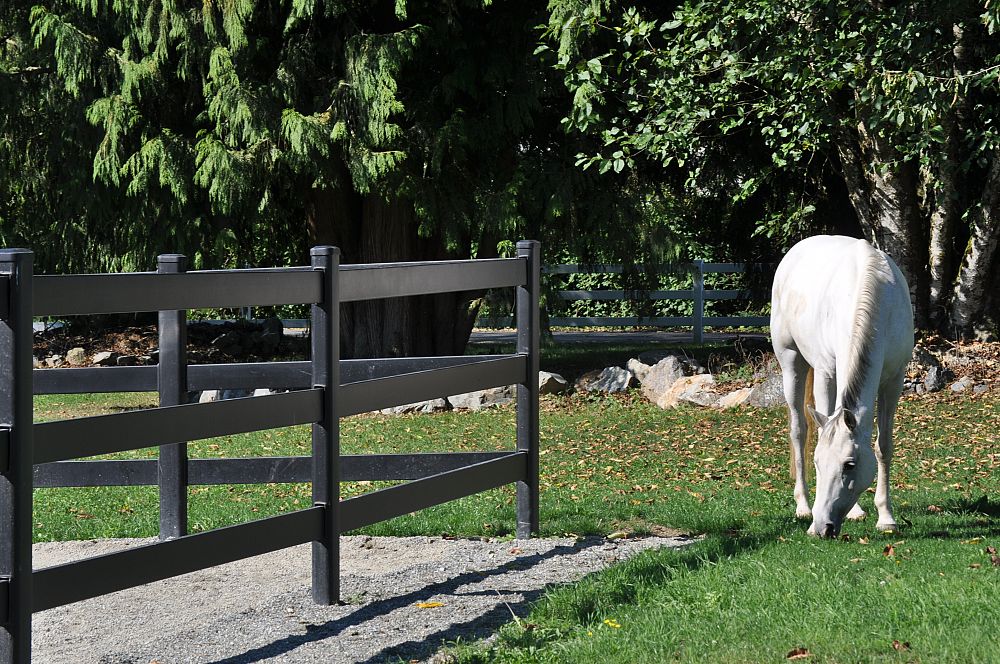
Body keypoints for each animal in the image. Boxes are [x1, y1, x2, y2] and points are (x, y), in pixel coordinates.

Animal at [772, 236, 916, 536]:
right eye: (817, 463)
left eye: (849, 465)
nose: (821, 527)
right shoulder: (827, 373)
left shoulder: (894, 380)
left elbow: (883, 445)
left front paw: (886, 517)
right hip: (791, 363)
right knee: (799, 431)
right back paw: (804, 505)